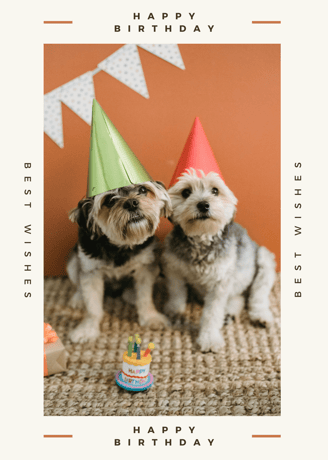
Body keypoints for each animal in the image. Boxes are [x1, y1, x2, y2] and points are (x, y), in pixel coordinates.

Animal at [65, 181, 170, 344]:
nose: (132, 203)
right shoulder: (91, 272)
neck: (119, 246)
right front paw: (87, 330)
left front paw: (151, 318)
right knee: (78, 286)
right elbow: (92, 307)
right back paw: (78, 299)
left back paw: (131, 294)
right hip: (72, 264)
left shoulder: (145, 266)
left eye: (143, 190)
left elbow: (145, 298)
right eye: (109, 200)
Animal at [162, 169, 276, 352]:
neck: (201, 241)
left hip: (264, 259)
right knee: (239, 298)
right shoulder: (173, 267)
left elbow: (212, 314)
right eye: (186, 192)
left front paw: (209, 339)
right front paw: (174, 309)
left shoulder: (219, 283)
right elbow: (176, 291)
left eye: (215, 190)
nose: (203, 205)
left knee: (257, 295)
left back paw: (260, 315)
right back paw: (230, 312)